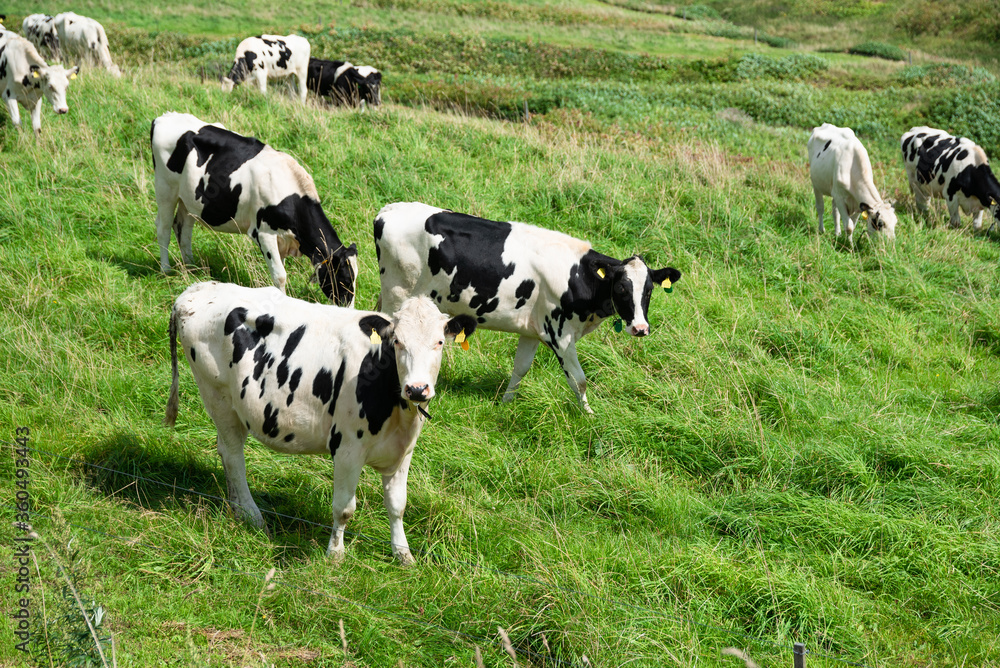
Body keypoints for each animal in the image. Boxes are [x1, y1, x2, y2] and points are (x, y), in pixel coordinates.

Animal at [149, 111, 360, 306]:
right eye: (345, 279)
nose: (349, 308)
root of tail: (164, 117)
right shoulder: (264, 234)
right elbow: (280, 275)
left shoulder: (282, 241)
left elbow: (280, 270)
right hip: (165, 189)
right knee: (163, 228)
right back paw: (166, 269)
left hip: (189, 199)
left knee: (183, 229)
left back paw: (193, 268)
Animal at [166, 280, 478, 564]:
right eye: (397, 341)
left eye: (439, 342)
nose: (417, 389)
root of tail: (196, 290)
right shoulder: (348, 448)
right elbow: (344, 507)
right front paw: (335, 554)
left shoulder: (403, 451)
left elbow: (397, 505)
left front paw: (403, 554)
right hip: (218, 397)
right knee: (233, 457)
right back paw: (254, 517)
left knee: (226, 452)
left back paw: (238, 509)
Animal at [372, 201, 684, 414]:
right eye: (621, 288)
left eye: (649, 290)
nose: (640, 328)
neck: (577, 276)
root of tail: (388, 210)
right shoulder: (560, 334)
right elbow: (579, 380)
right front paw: (589, 415)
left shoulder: (532, 331)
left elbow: (520, 369)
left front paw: (505, 401)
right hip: (397, 294)